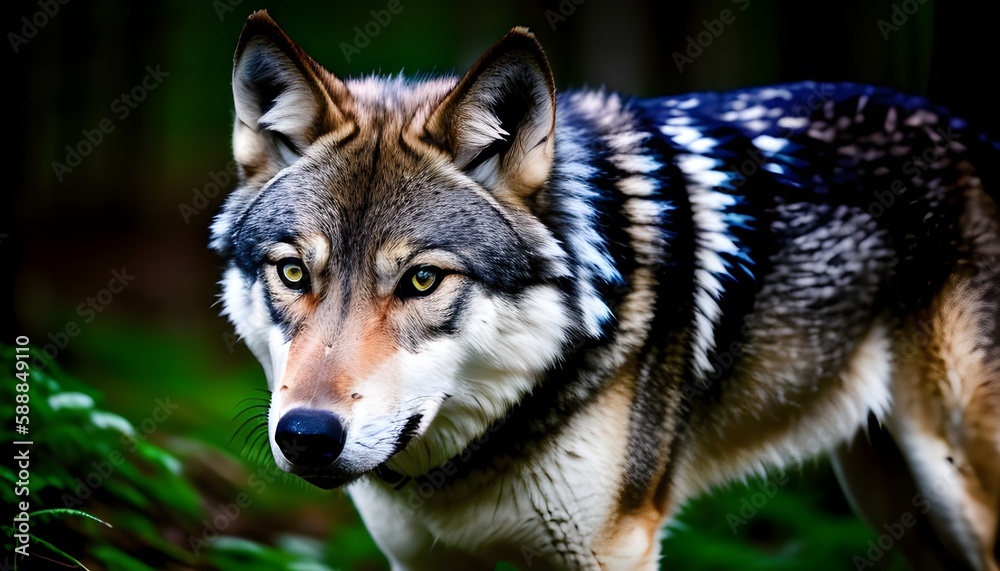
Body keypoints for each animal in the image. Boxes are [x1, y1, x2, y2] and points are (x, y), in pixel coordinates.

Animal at [212, 10, 1000, 570]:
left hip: (960, 492)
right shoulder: (418, 559)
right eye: (293, 272)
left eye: (422, 280)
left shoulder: (614, 550)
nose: (306, 436)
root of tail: (974, 131)